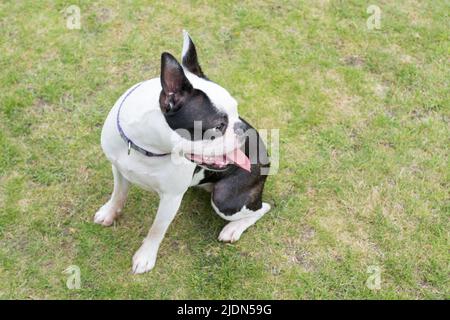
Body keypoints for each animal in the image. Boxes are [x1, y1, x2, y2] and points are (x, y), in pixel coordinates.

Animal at [95, 31, 270, 272]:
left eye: (236, 110)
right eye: (219, 126)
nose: (242, 129)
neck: (147, 148)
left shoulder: (171, 198)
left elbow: (157, 229)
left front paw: (145, 256)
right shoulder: (119, 170)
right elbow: (118, 195)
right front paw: (110, 213)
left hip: (226, 201)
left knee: (264, 207)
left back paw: (233, 229)